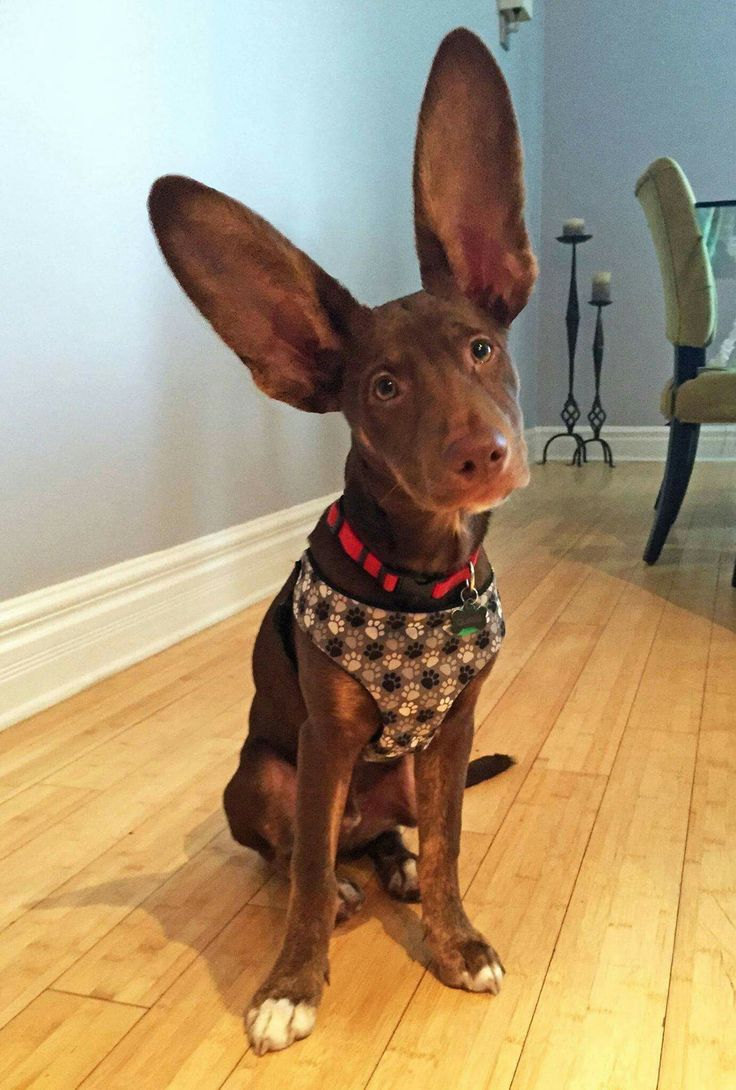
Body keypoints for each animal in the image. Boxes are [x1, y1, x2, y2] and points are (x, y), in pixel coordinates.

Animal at [149, 27, 538, 1055]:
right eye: (383, 388)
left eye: (483, 347)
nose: (484, 456)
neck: (420, 580)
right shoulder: (323, 741)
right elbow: (311, 876)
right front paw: (293, 982)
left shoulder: (454, 734)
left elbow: (447, 850)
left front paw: (455, 939)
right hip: (261, 776)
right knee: (303, 853)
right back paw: (343, 885)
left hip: (401, 774)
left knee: (386, 837)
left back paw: (389, 865)